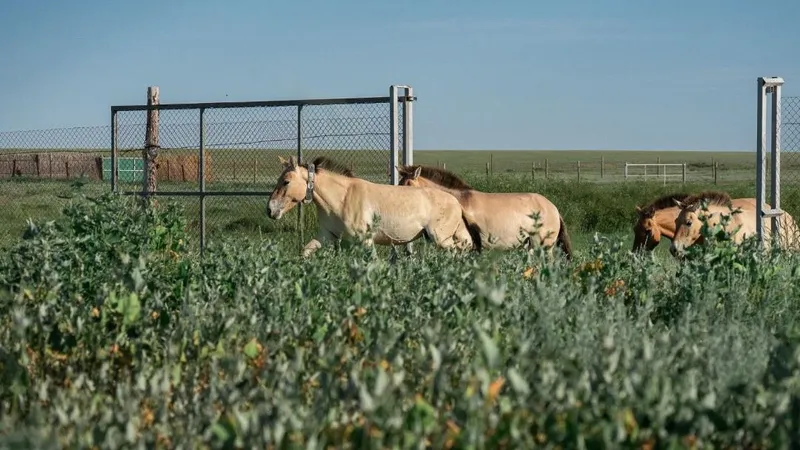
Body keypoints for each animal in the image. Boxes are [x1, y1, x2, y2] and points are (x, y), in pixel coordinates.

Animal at [266, 156, 483, 258]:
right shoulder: (327, 236)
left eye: (286, 181)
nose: (270, 209)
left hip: (441, 239)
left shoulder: (366, 241)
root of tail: (455, 202)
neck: (342, 198)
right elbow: (305, 252)